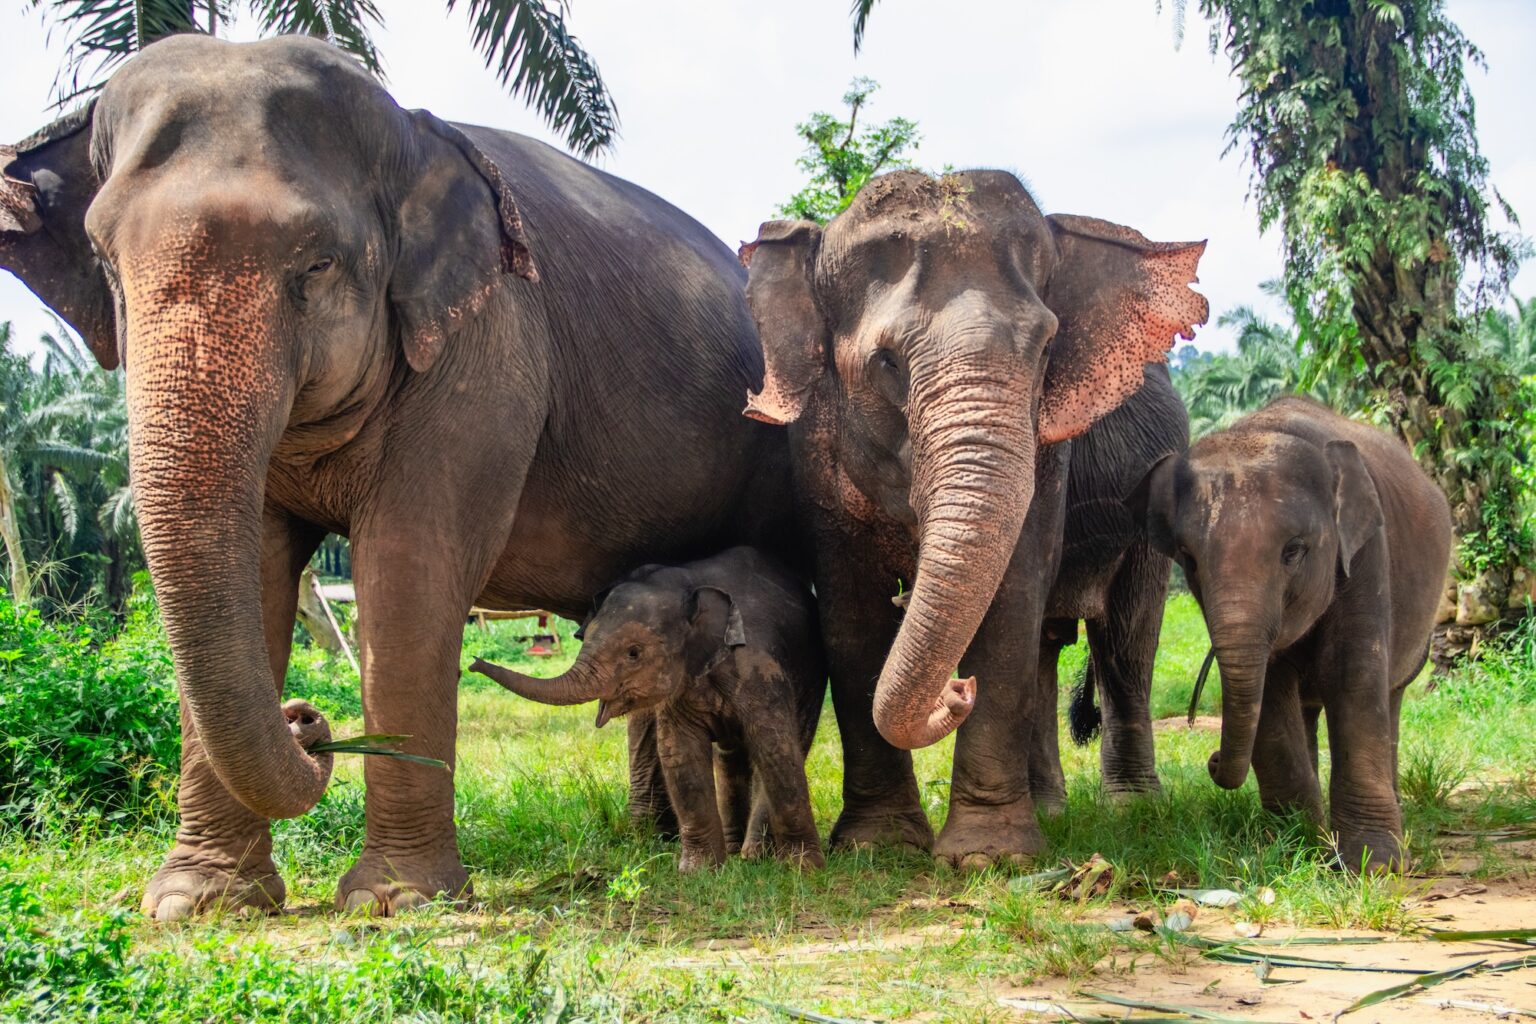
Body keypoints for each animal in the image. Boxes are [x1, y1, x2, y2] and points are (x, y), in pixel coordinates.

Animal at [471, 546, 826, 871]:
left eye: (633, 653)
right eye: (585, 636)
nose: (473, 662)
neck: (688, 584)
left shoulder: (759, 667)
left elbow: (774, 747)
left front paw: (805, 870)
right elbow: (680, 753)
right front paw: (698, 872)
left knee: (789, 742)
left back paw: (755, 854)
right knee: (729, 756)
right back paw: (735, 848)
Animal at [740, 170, 1207, 863]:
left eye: (1046, 350)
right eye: (886, 363)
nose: (957, 690)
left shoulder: (1047, 453)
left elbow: (1011, 599)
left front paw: (990, 857)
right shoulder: (815, 453)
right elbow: (850, 614)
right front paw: (879, 848)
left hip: (1157, 487)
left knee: (1126, 640)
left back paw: (1133, 810)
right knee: (1049, 647)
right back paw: (1051, 808)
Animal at [1126, 396, 1452, 871]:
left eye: (1293, 551)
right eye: (1188, 558)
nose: (1212, 759)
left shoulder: (1366, 556)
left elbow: (1352, 679)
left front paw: (1372, 865)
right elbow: (1271, 691)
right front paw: (1296, 850)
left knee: (1390, 695)